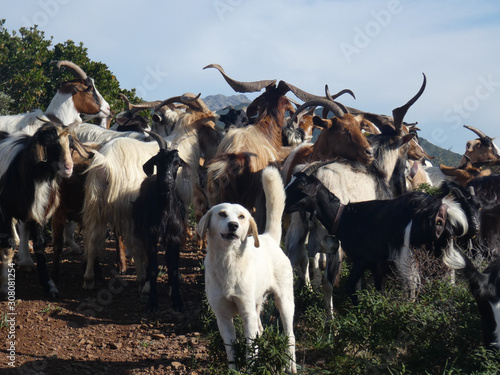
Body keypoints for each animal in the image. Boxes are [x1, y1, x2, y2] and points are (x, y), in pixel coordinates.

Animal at [0, 122, 89, 298]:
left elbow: (40, 247)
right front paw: (6, 286)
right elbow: (8, 247)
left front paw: (49, 285)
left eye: (70, 145)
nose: (69, 167)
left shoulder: (38, 213)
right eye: (49, 143)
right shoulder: (4, 212)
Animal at [132, 131, 187, 312]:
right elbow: (154, 268)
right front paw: (153, 302)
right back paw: (147, 286)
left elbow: (174, 268)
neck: (164, 214)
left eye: (177, 163)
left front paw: (177, 300)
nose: (166, 182)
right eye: (158, 161)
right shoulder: (149, 237)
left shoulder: (175, 238)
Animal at [196, 167, 296, 374]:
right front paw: (233, 369)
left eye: (241, 217)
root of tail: (269, 238)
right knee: (260, 331)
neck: (228, 262)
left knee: (290, 335)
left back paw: (290, 365)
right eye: (222, 214)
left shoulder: (247, 313)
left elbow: (250, 349)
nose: (233, 225)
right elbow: (232, 349)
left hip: (285, 302)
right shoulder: (223, 317)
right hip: (257, 304)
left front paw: (251, 368)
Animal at [288, 172, 470, 306]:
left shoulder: (363, 259)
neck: (344, 217)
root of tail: (440, 211)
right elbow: (378, 289)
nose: (286, 202)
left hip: (409, 257)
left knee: (413, 286)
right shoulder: (378, 265)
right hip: (439, 254)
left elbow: (350, 287)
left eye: (300, 186)